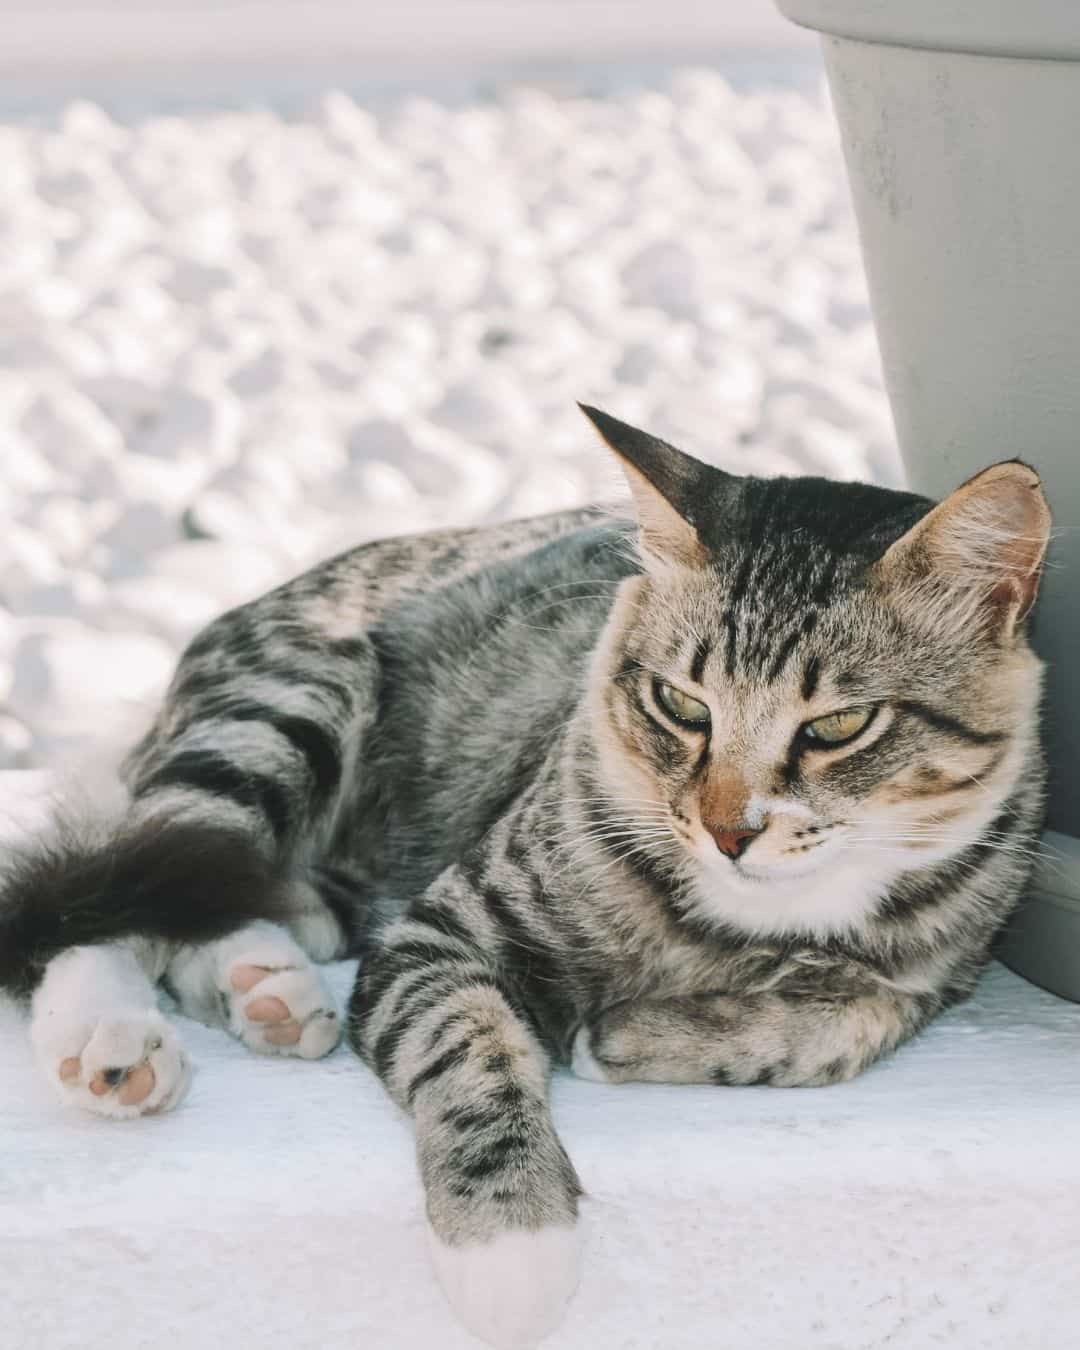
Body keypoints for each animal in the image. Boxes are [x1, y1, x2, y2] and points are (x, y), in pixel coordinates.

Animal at [0, 405, 1053, 1344]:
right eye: (680, 704)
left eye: (839, 725)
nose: (726, 832)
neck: (746, 920)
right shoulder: (440, 931)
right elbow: (469, 1040)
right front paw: (512, 1248)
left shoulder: (949, 949)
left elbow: (854, 1019)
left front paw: (644, 1035)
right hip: (283, 705)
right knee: (119, 886)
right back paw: (112, 1037)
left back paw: (264, 985)